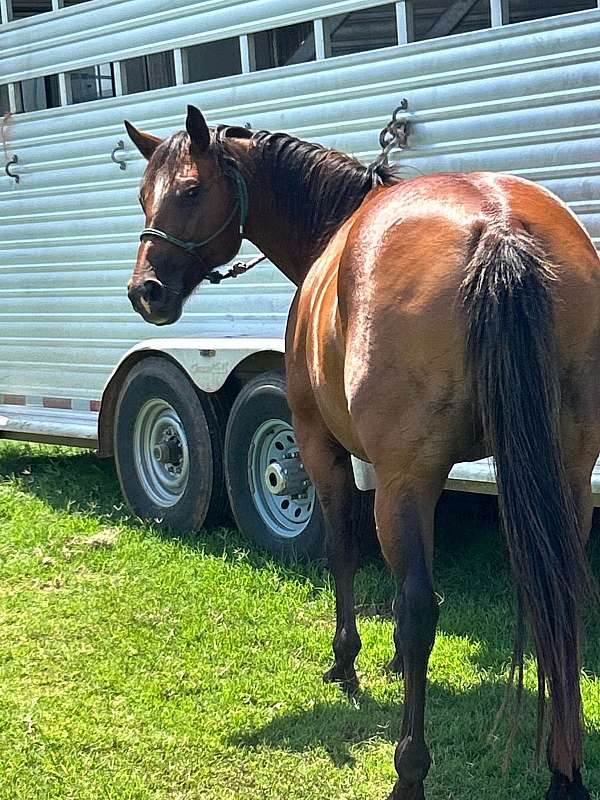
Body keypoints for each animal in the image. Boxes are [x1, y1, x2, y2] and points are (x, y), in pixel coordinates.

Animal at [123, 108, 600, 800]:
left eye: (188, 190)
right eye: (143, 195)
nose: (146, 291)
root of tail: (498, 228)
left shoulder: (323, 448)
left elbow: (345, 551)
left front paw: (344, 663)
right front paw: (394, 662)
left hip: (407, 477)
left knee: (422, 608)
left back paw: (410, 770)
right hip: (565, 476)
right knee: (559, 599)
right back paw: (565, 774)